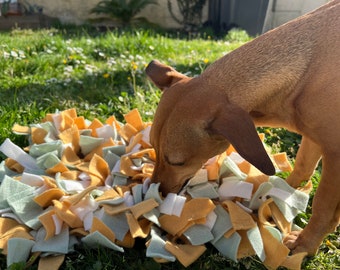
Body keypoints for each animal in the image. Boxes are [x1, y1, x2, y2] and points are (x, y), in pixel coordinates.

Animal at [145, 0, 338, 258]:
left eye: (178, 162)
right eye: (153, 148)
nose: (156, 193)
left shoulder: (334, 155)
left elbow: (323, 207)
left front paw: (306, 243)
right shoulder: (314, 137)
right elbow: (301, 169)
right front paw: (280, 197)